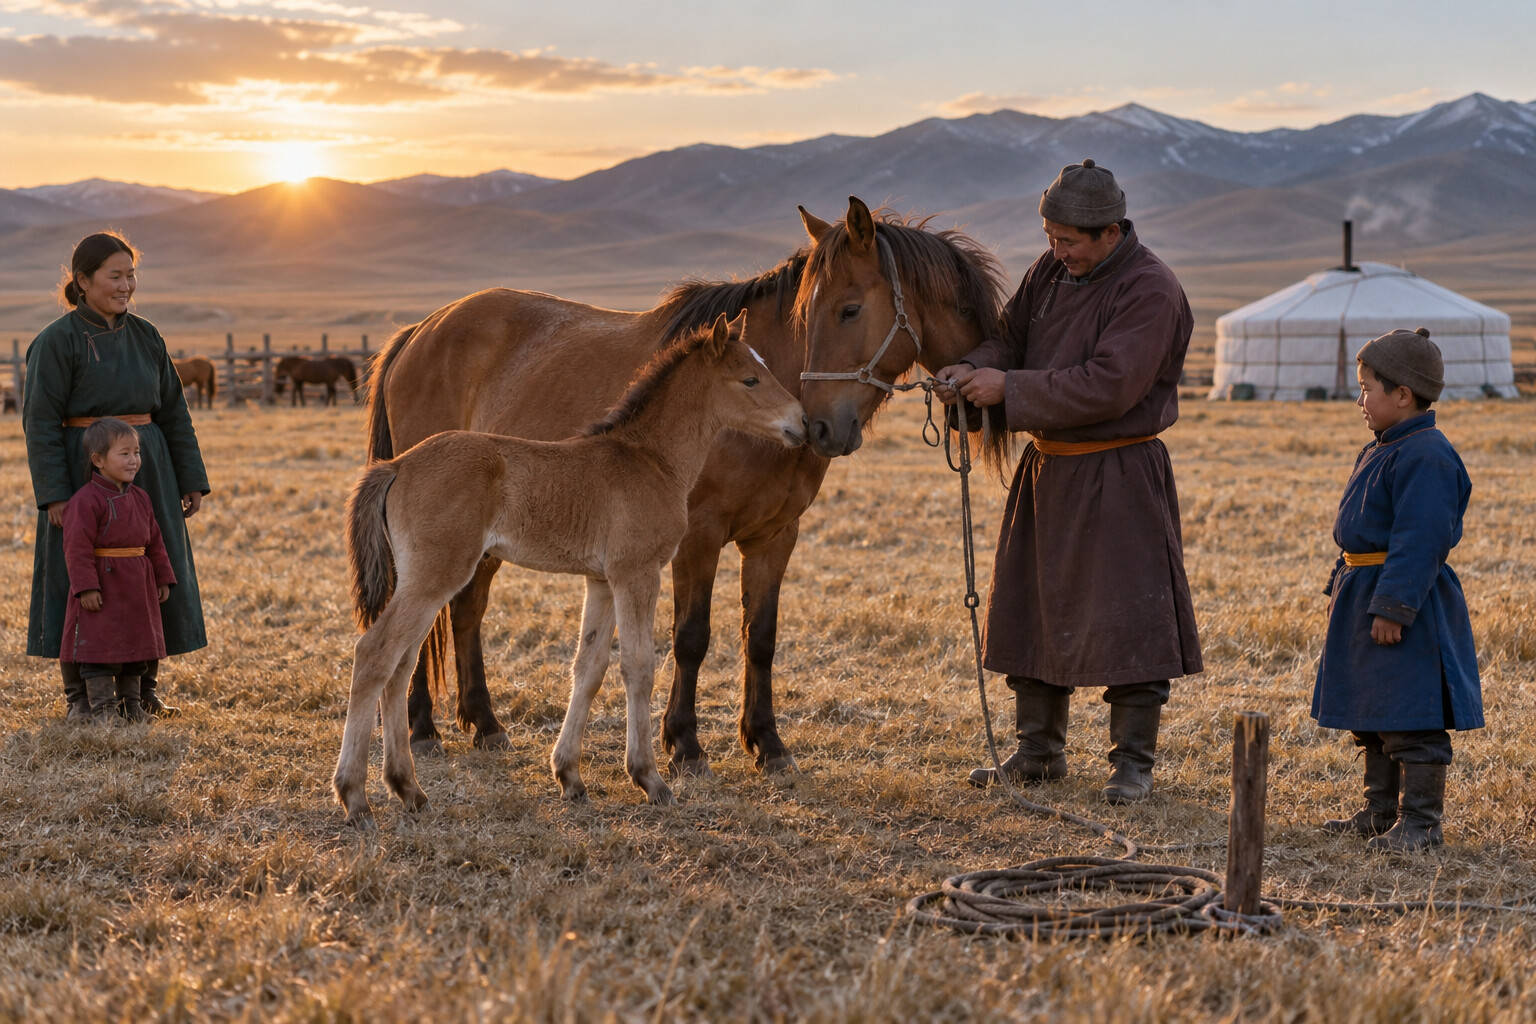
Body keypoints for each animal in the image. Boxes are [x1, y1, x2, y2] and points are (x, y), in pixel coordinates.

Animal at [335, 313, 807, 826]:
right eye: (750, 379)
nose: (803, 422)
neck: (649, 459)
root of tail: (397, 465)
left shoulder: (600, 581)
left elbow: (589, 667)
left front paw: (570, 777)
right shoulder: (636, 572)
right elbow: (638, 665)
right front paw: (650, 779)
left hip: (423, 579)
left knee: (400, 665)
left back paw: (408, 788)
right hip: (435, 575)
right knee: (375, 654)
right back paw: (355, 796)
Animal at [366, 196, 1008, 776]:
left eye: (848, 310)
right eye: (817, 313)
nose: (819, 426)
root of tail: (422, 329)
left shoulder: (775, 536)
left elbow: (761, 637)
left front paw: (767, 743)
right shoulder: (697, 537)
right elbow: (691, 637)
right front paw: (684, 745)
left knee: (464, 611)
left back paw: (483, 723)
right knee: (422, 623)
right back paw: (422, 729)